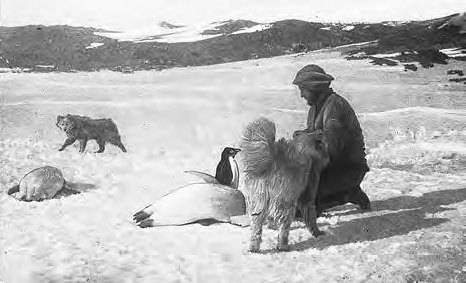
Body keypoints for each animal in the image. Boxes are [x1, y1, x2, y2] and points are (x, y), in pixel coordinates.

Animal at [238, 117, 330, 253]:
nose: (322, 131)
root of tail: (270, 163)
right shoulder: (308, 190)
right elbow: (310, 214)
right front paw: (317, 232)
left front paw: (271, 226)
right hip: (285, 202)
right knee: (284, 226)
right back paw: (283, 245)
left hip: (258, 201)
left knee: (256, 226)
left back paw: (254, 247)